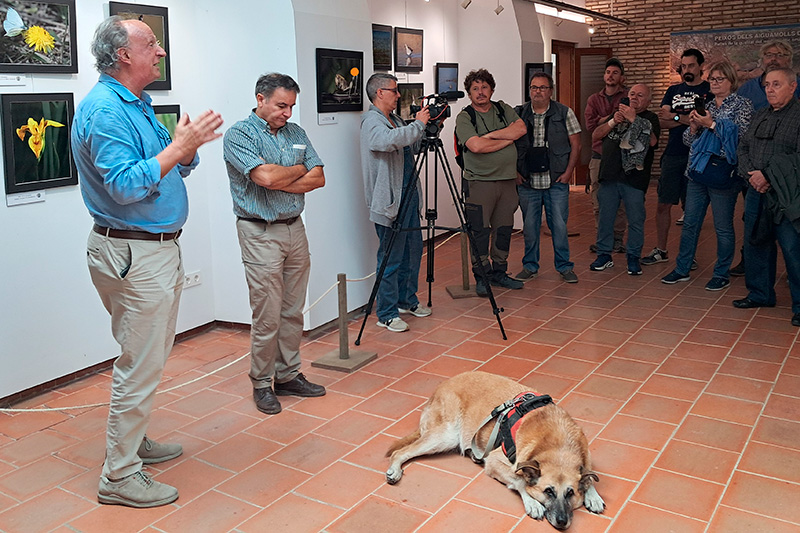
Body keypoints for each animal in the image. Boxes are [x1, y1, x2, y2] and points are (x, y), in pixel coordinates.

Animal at [384, 370, 604, 528]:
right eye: (548, 492)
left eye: (570, 493)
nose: (562, 522)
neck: (558, 445)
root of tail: (439, 388)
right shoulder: (495, 461)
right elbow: (519, 480)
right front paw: (532, 502)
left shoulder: (586, 457)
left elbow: (589, 475)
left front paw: (592, 495)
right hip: (445, 436)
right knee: (400, 452)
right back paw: (394, 470)